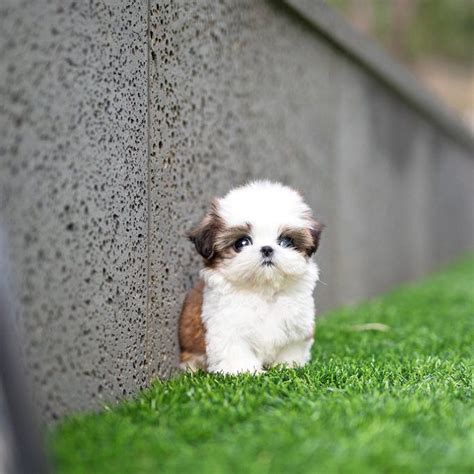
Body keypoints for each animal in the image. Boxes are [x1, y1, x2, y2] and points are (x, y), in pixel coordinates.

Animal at [178, 181, 322, 374]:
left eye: (286, 241)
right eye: (242, 243)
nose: (267, 248)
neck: (263, 291)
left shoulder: (297, 327)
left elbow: (291, 349)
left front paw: (288, 366)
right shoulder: (226, 327)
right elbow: (235, 351)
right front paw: (244, 371)